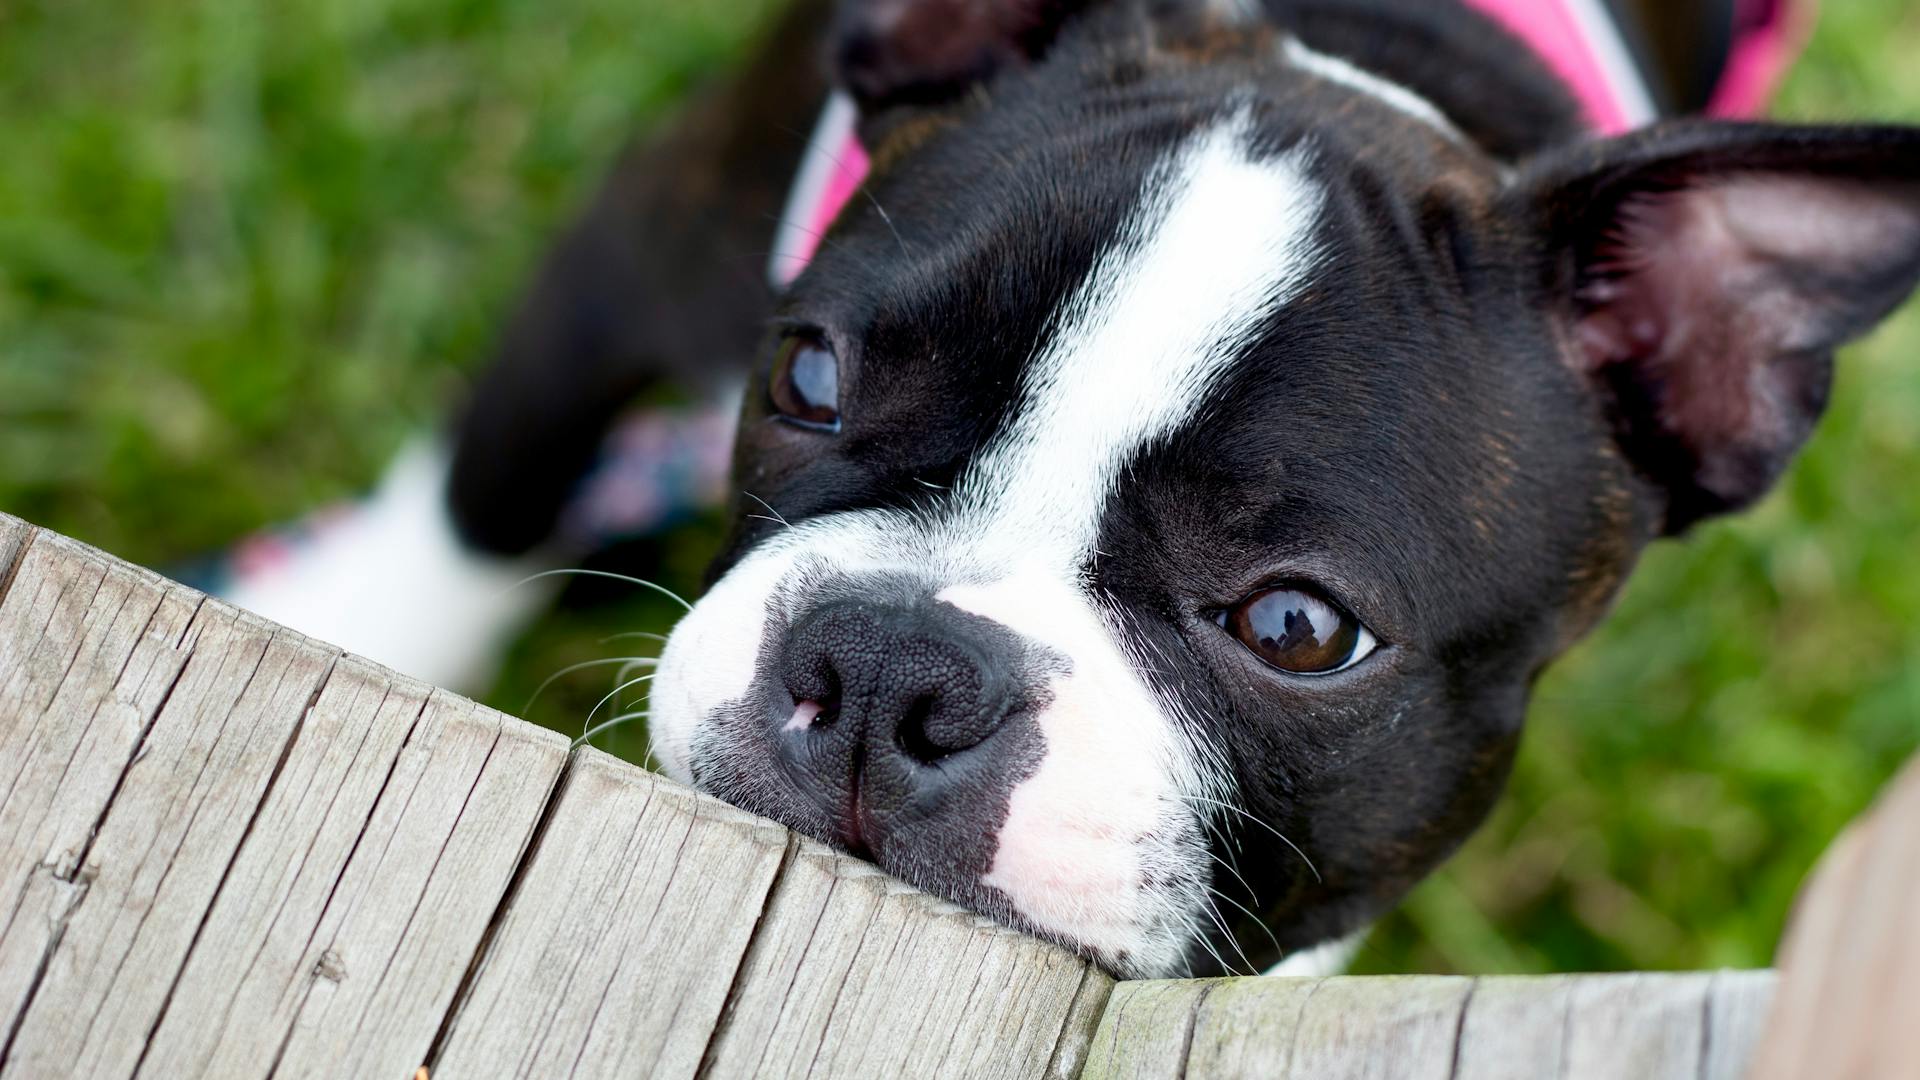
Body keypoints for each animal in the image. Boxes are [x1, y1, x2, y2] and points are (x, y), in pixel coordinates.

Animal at [232, 0, 1920, 976]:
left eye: (1301, 631)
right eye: (810, 381)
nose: (893, 667)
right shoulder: (647, 243)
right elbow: (494, 482)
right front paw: (356, 626)